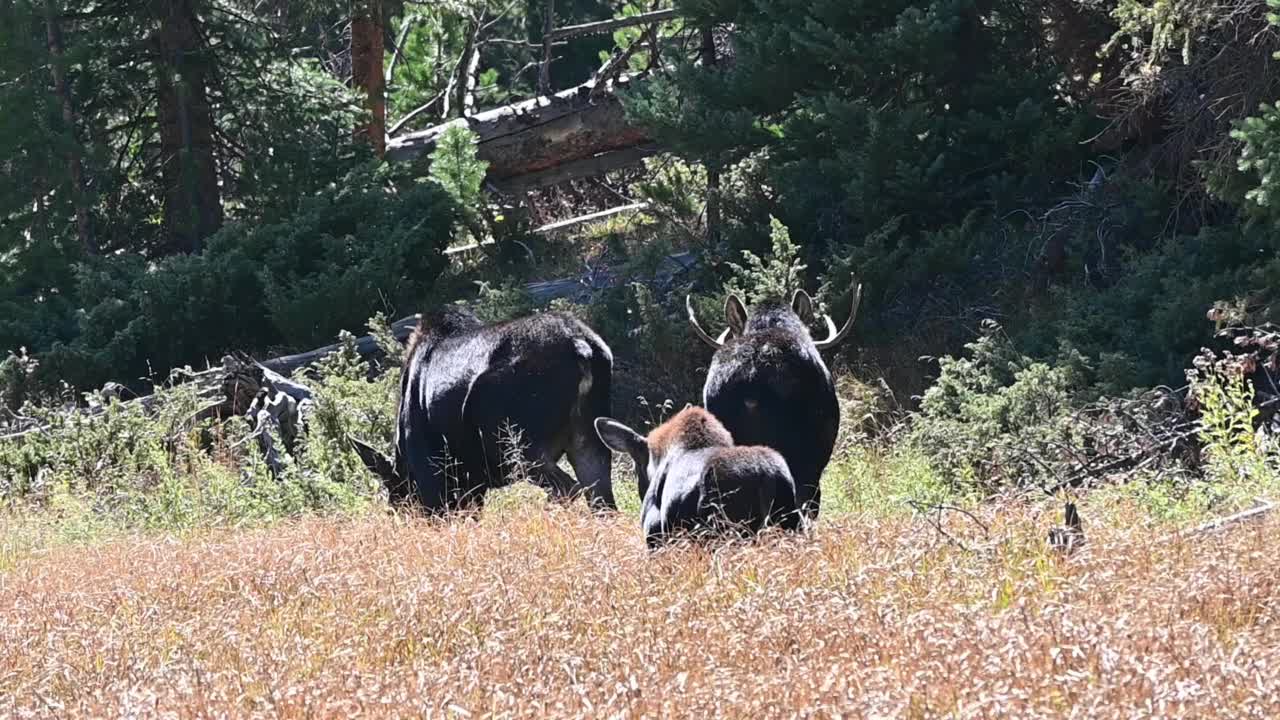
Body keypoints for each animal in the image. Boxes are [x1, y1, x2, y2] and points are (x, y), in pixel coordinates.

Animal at [348, 302, 611, 509]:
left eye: (396, 503)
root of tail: (582, 348)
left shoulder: (432, 479)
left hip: (517, 445)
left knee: (567, 489)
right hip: (587, 439)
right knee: (600, 498)